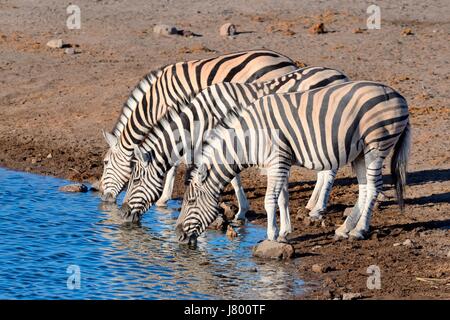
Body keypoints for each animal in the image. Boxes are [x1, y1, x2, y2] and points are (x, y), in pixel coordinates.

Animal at [99, 48, 298, 202]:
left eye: (105, 162)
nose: (101, 196)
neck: (156, 101)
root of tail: (288, 61)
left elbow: (176, 160)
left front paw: (164, 197)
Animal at [119, 67, 348, 222]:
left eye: (135, 180)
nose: (123, 213)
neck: (203, 117)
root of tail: (341, 75)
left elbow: (229, 178)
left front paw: (239, 210)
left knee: (330, 170)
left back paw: (318, 208)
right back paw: (311, 204)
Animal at [175, 81, 412, 244]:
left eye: (191, 202)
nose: (178, 235)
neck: (250, 138)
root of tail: (400, 96)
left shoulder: (277, 160)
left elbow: (270, 200)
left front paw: (271, 235)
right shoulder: (281, 163)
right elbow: (283, 199)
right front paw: (284, 233)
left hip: (376, 146)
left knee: (373, 188)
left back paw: (360, 230)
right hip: (361, 153)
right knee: (364, 189)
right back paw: (345, 229)